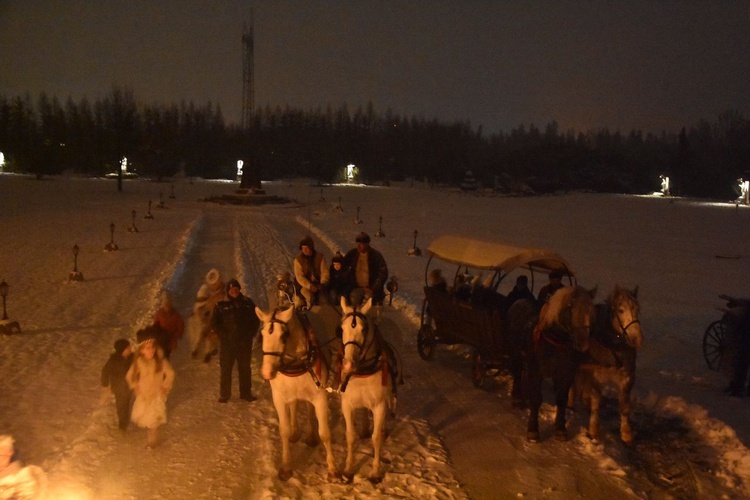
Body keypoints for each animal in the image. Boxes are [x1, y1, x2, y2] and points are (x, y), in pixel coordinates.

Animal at [258, 304, 340, 480]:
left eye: (284, 335)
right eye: (262, 335)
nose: (267, 372)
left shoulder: (320, 396)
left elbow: (325, 433)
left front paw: (332, 468)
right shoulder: (279, 398)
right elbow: (284, 430)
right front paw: (286, 467)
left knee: (308, 408)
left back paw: (310, 435)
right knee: (294, 405)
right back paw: (296, 431)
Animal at [340, 296, 400, 484]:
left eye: (363, 329)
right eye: (341, 328)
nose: (348, 365)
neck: (363, 371)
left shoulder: (379, 405)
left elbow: (376, 438)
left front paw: (375, 472)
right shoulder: (347, 404)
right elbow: (350, 435)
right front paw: (348, 469)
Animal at [512, 286, 600, 442]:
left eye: (591, 309)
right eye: (570, 306)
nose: (583, 344)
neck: (555, 344)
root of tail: (520, 302)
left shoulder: (565, 375)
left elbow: (562, 399)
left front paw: (560, 429)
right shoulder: (536, 372)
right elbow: (536, 399)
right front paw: (533, 431)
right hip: (517, 355)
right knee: (517, 373)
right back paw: (516, 398)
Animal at [572, 288, 644, 444]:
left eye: (637, 309)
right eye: (620, 310)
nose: (636, 339)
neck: (613, 347)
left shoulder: (627, 376)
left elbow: (624, 406)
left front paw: (626, 434)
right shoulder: (597, 375)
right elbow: (596, 402)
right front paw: (593, 430)